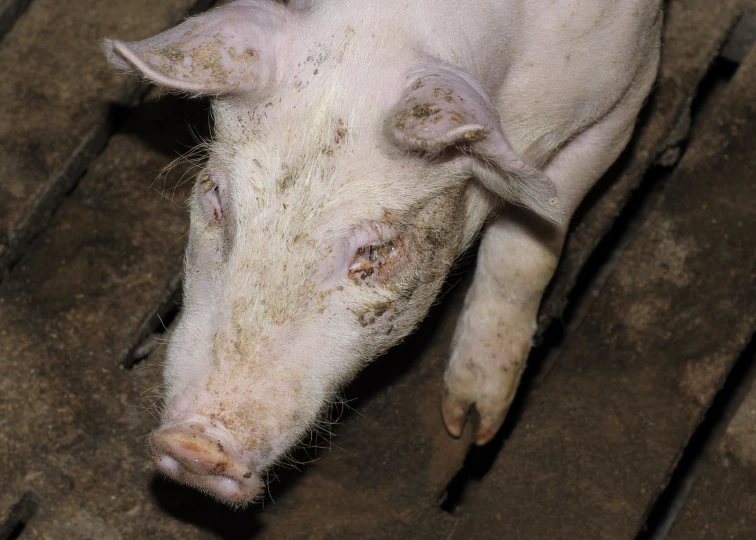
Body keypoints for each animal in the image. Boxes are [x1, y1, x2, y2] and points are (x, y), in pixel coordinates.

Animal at [102, 0, 660, 506]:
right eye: (216, 196)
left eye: (373, 249)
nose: (194, 444)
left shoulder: (626, 92)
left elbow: (529, 245)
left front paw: (468, 425)